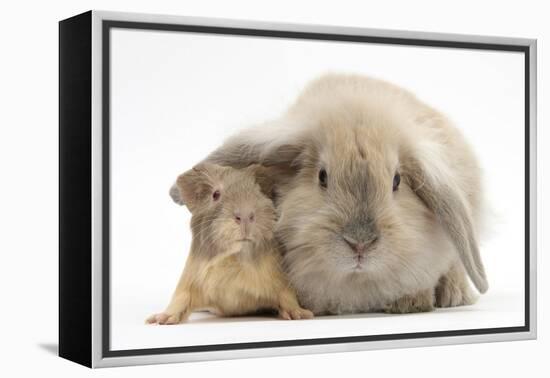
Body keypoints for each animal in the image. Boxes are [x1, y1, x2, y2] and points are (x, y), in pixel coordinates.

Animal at [148, 163, 314, 324]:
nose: (245, 215)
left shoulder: (279, 279)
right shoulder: (189, 280)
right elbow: (180, 299)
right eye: (215, 194)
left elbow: (287, 297)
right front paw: (159, 320)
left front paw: (301, 315)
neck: (234, 258)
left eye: (258, 192)